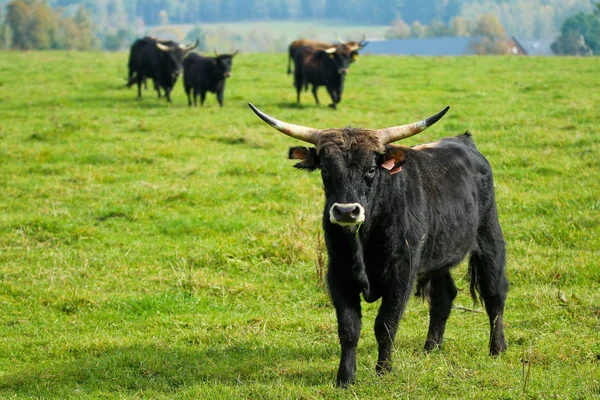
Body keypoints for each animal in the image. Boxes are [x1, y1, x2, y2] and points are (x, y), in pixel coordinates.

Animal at [246, 103, 508, 388]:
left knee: (494, 294)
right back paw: (431, 348)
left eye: (371, 170)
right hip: (438, 255)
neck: (363, 241)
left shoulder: (402, 274)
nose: (346, 211)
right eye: (325, 170)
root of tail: (463, 141)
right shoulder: (338, 275)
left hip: (489, 237)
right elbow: (349, 328)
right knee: (444, 296)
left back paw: (497, 349)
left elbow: (386, 324)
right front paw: (345, 378)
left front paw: (383, 370)